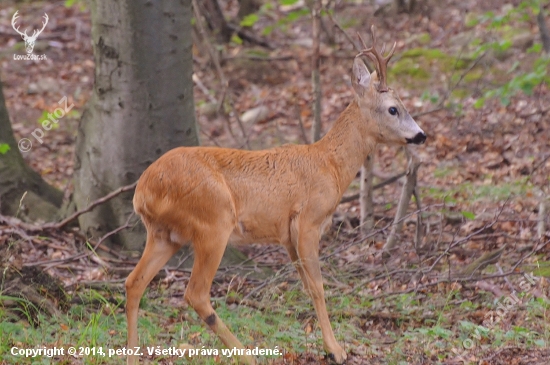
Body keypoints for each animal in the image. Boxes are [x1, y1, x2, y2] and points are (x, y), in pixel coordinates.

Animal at [126, 26, 426, 364]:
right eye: (393, 108)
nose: (421, 135)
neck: (329, 165)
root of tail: (143, 191)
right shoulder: (308, 221)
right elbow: (318, 286)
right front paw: (336, 350)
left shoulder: (287, 235)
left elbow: (306, 286)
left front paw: (330, 345)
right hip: (213, 221)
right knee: (196, 293)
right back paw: (247, 355)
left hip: (165, 234)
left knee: (134, 282)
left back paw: (132, 354)